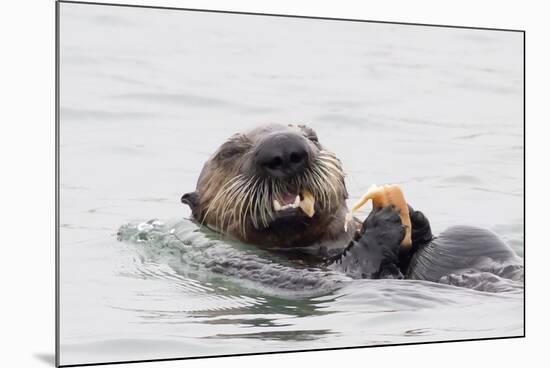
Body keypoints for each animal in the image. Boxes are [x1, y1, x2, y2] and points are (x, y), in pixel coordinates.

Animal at [182, 123, 528, 282]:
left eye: (312, 136)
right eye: (229, 152)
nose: (284, 149)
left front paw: (415, 220)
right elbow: (356, 264)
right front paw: (383, 222)